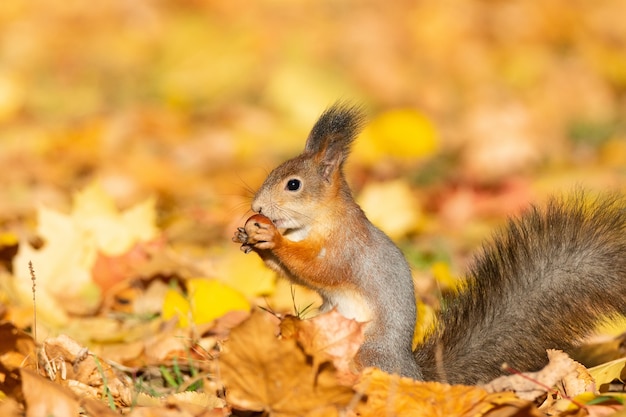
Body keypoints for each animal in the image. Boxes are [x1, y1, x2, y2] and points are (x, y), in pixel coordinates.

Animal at [233, 101, 624, 384]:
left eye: (293, 185)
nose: (257, 208)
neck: (314, 223)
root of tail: (416, 374)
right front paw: (251, 238)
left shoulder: (346, 247)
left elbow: (318, 268)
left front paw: (270, 238)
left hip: (367, 352)